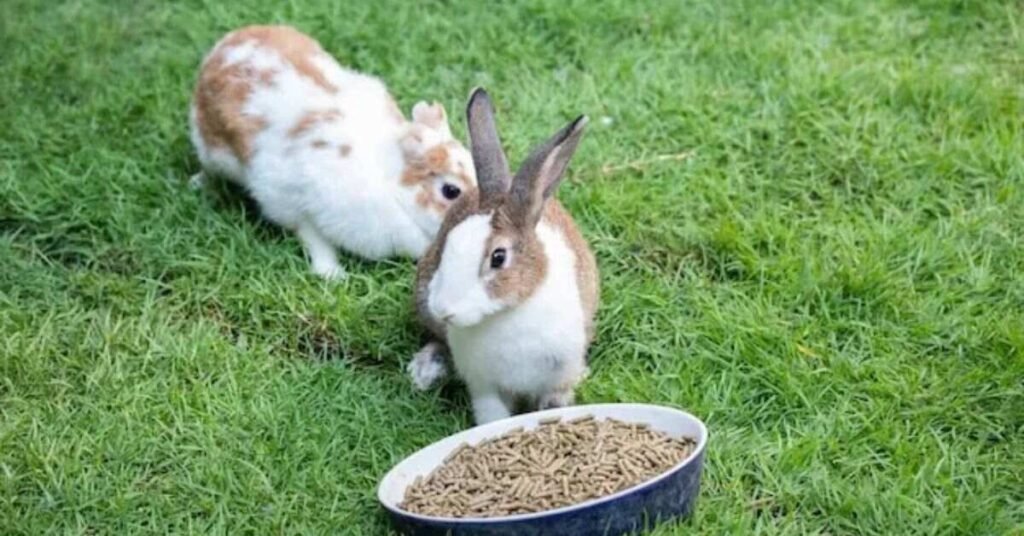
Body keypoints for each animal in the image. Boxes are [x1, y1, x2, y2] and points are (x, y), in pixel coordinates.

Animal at [189, 25, 476, 279]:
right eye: (451, 191)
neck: (393, 191)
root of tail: (224, 47)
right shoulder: (296, 205)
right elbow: (316, 241)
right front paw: (332, 275)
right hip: (212, 151)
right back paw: (197, 184)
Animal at [407, 88, 599, 424]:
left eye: (498, 258)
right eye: (446, 245)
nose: (443, 309)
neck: (507, 312)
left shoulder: (558, 374)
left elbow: (553, 403)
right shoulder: (484, 385)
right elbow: (493, 416)